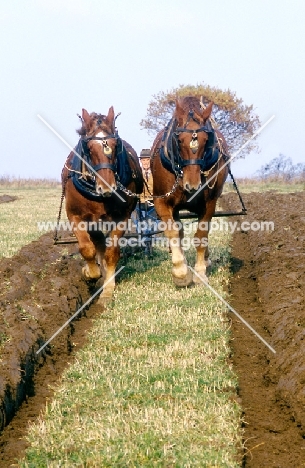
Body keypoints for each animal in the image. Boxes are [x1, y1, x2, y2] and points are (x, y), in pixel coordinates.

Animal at [62, 107, 143, 304]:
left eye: (115, 145)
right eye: (89, 148)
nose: (107, 187)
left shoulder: (122, 217)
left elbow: (111, 252)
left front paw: (107, 289)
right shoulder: (75, 216)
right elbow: (87, 249)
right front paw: (89, 273)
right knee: (96, 242)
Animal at [150, 97, 228, 288]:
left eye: (206, 139)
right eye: (178, 139)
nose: (192, 185)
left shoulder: (210, 203)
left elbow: (201, 236)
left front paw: (200, 273)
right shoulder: (161, 201)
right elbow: (172, 232)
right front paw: (180, 272)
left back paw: (205, 260)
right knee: (179, 231)